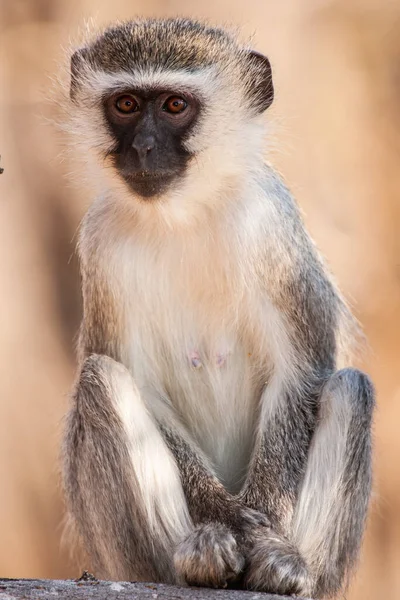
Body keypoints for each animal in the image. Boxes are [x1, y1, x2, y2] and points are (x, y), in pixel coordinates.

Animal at [61, 16, 374, 596]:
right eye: (126, 105)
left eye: (174, 106)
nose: (143, 148)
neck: (183, 213)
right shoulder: (100, 243)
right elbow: (139, 383)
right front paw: (225, 518)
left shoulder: (269, 223)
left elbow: (301, 372)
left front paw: (262, 528)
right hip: (133, 561)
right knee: (100, 380)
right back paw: (199, 556)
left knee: (351, 389)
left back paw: (284, 566)